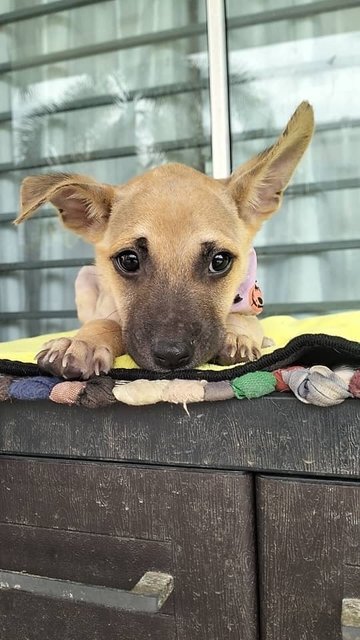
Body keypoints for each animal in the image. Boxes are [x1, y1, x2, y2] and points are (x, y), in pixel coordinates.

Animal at [16, 102, 316, 378]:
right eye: (128, 260)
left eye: (220, 261)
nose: (172, 356)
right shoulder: (110, 309)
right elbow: (109, 323)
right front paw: (81, 342)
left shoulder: (249, 309)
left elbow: (241, 319)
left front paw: (237, 336)